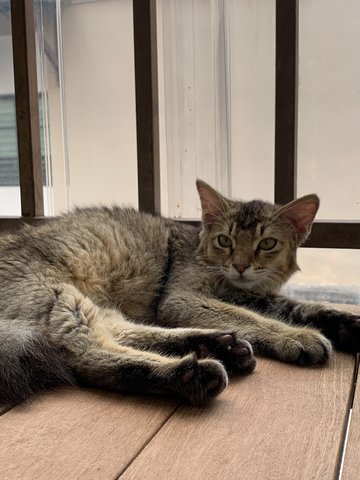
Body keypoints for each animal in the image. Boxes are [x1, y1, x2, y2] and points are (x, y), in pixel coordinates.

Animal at [0, 180, 358, 404]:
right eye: (225, 240)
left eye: (267, 243)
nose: (241, 265)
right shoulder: (182, 298)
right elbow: (251, 318)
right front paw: (296, 337)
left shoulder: (254, 296)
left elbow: (302, 307)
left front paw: (347, 323)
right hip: (61, 299)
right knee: (90, 358)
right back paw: (190, 373)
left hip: (90, 305)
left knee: (124, 333)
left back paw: (216, 345)